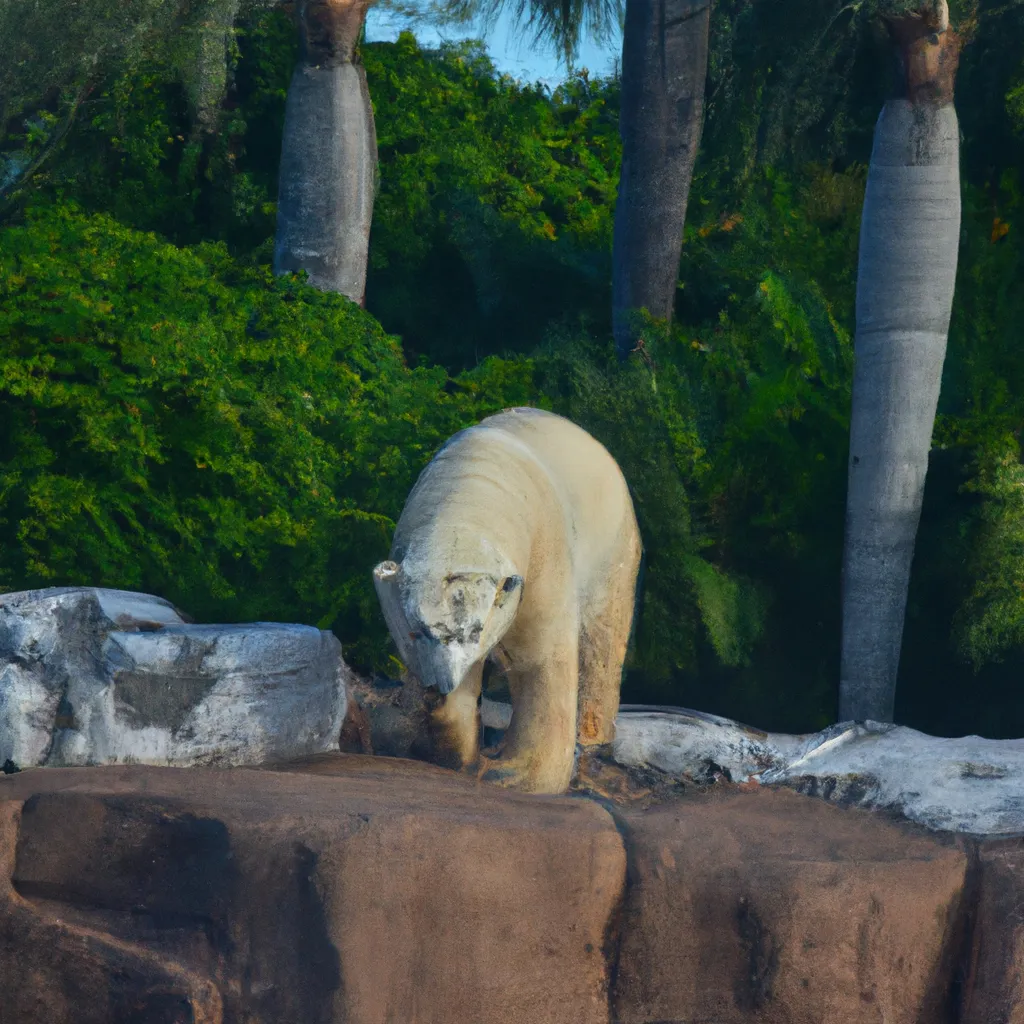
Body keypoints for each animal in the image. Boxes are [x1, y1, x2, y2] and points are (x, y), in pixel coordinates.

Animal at [368, 405, 638, 790]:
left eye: (475, 630)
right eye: (416, 631)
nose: (444, 683)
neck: (469, 490)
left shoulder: (543, 549)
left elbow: (539, 654)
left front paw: (518, 774)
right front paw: (446, 735)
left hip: (612, 541)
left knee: (604, 633)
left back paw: (592, 733)